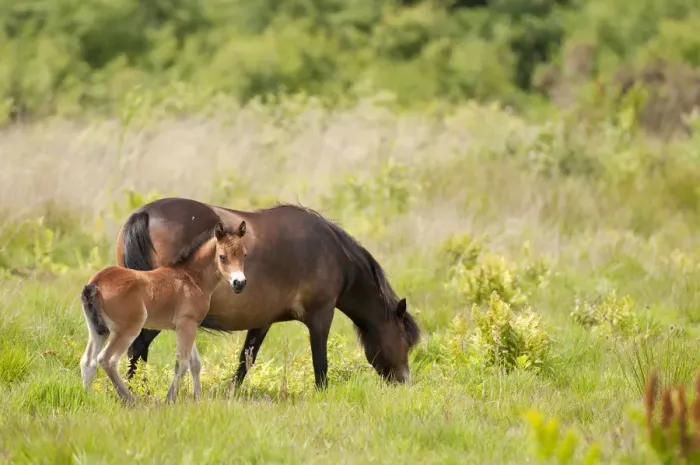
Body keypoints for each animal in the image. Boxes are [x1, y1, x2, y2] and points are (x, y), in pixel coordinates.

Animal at [80, 220, 248, 405]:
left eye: (244, 255)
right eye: (222, 256)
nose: (239, 283)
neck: (192, 277)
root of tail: (95, 283)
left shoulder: (188, 325)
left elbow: (195, 363)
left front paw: (197, 399)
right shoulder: (187, 325)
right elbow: (182, 363)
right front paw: (170, 399)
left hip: (98, 329)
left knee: (88, 361)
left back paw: (88, 397)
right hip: (127, 329)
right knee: (107, 359)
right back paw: (131, 400)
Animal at [114, 197, 421, 390]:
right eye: (406, 340)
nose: (405, 382)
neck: (333, 253)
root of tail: (144, 214)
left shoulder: (261, 321)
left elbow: (245, 361)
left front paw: (231, 394)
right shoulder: (321, 316)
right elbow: (320, 363)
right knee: (137, 347)